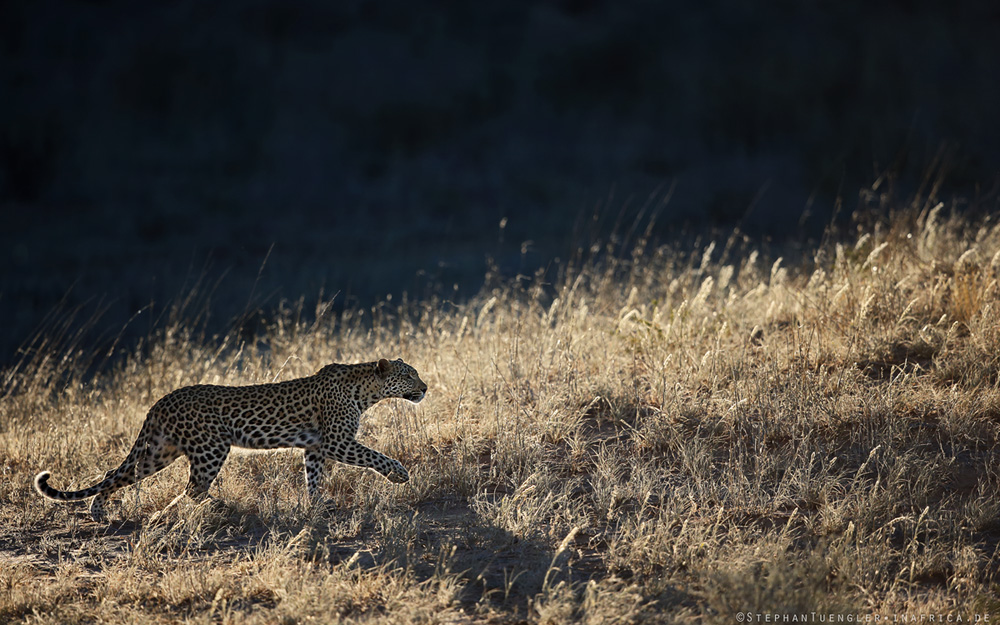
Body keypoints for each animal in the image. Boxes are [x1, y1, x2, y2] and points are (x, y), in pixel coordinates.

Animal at [32, 358, 426, 520]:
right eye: (408, 375)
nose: (424, 388)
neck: (366, 390)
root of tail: (162, 400)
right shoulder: (336, 441)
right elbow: (374, 456)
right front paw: (399, 474)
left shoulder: (315, 446)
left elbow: (313, 477)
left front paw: (318, 504)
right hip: (210, 448)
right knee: (191, 490)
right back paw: (210, 509)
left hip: (159, 452)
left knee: (115, 476)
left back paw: (99, 510)